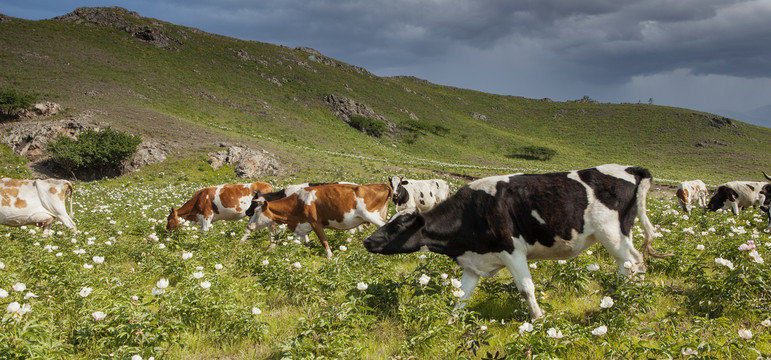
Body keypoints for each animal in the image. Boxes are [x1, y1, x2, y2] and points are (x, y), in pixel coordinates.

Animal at [244, 184, 392, 258]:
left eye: (257, 212)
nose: (249, 226)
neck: (298, 202)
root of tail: (382, 185)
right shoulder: (302, 227)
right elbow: (295, 244)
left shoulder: (316, 223)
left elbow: (323, 240)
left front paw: (330, 256)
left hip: (372, 216)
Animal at [364, 165, 672, 320]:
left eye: (398, 226)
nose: (367, 241)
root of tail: (630, 168)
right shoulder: (473, 263)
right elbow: (462, 297)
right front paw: (449, 323)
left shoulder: (512, 251)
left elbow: (526, 289)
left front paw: (538, 319)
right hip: (618, 234)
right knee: (628, 267)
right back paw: (622, 300)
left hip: (611, 232)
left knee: (634, 264)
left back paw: (626, 304)